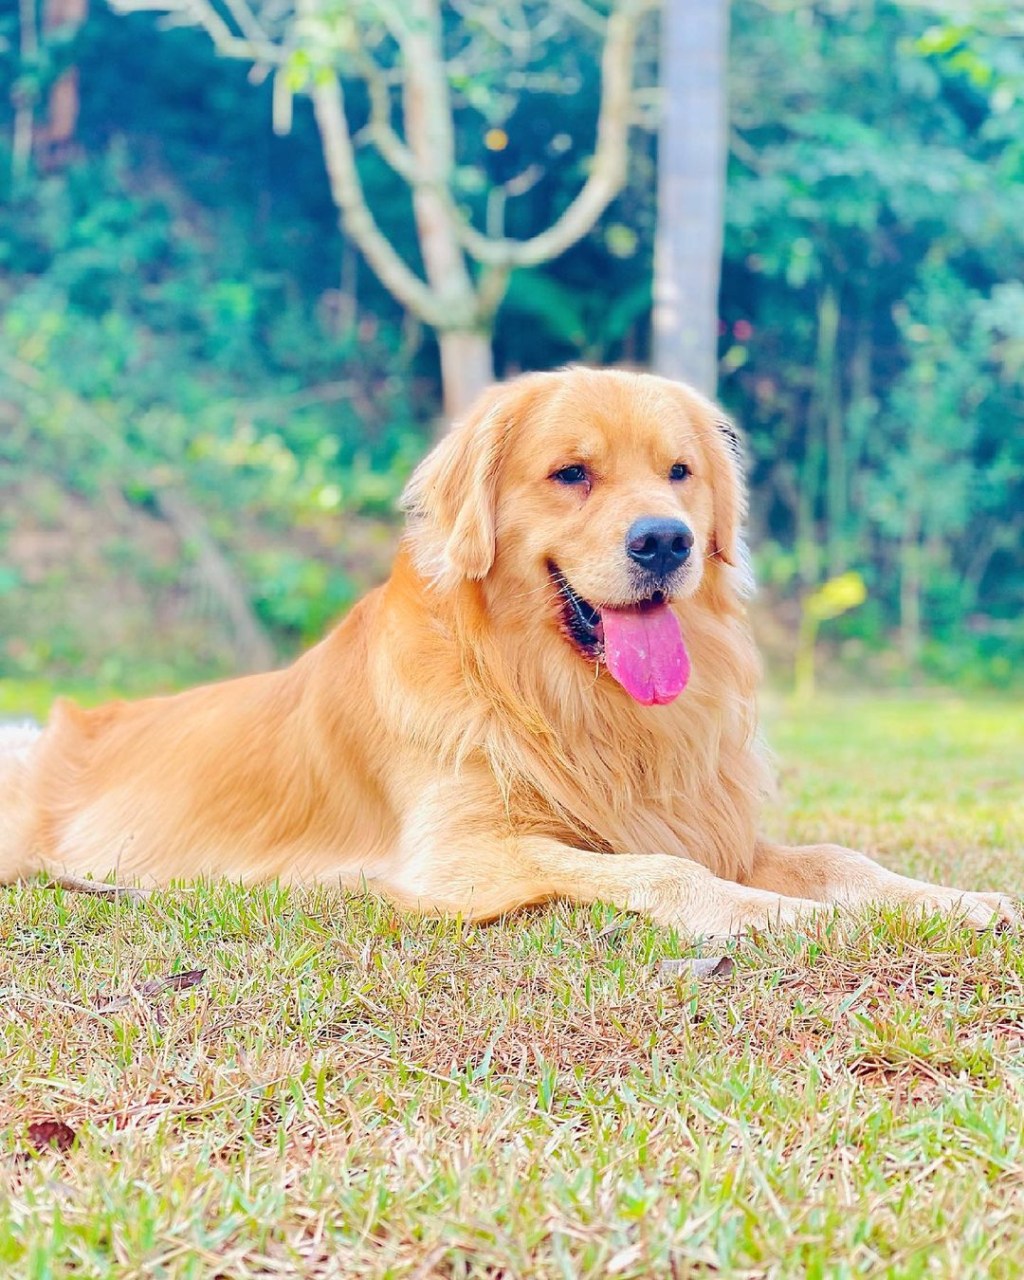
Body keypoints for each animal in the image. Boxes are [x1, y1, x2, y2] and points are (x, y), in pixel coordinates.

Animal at [0, 366, 1013, 936]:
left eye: (680, 473)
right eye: (572, 474)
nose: (667, 541)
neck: (551, 690)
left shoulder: (704, 820)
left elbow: (843, 859)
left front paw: (955, 901)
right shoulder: (457, 856)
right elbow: (660, 869)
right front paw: (775, 915)